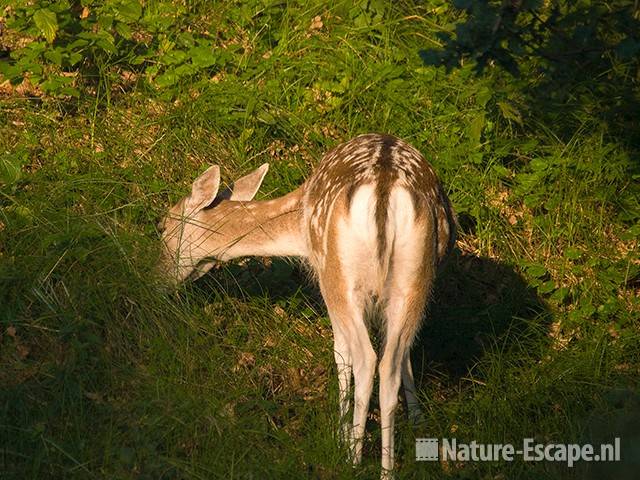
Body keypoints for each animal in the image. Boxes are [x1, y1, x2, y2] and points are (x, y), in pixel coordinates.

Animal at [158, 133, 458, 478]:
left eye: (162, 226)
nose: (155, 279)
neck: (298, 227)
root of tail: (385, 187)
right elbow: (402, 356)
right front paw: (418, 421)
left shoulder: (325, 280)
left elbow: (341, 355)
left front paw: (341, 436)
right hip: (413, 282)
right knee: (390, 364)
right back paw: (387, 469)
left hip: (339, 276)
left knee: (365, 358)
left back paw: (352, 459)